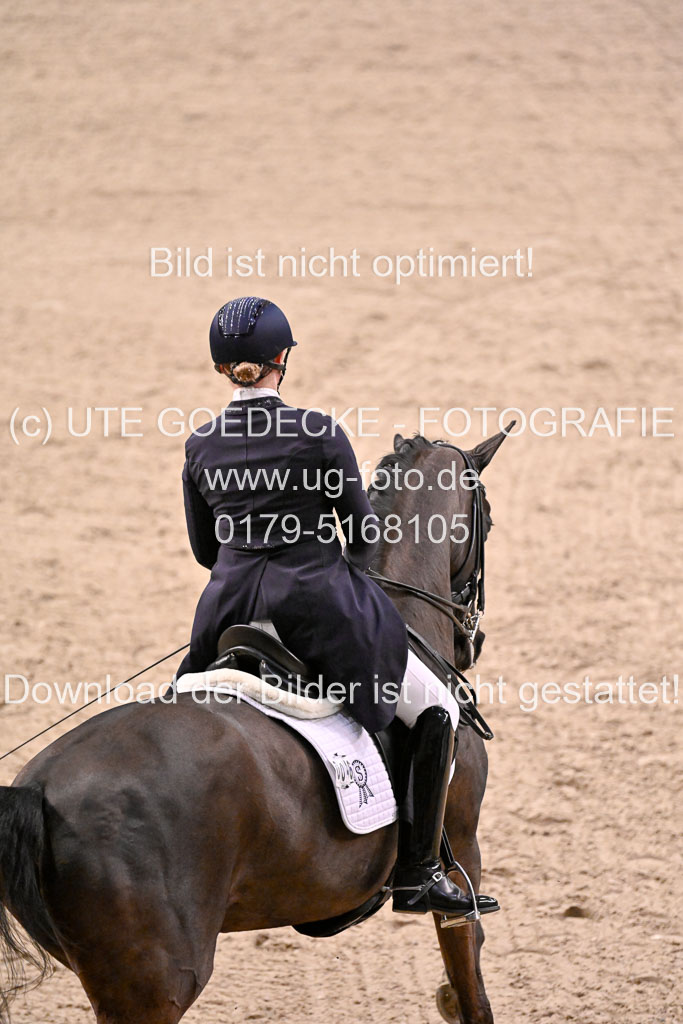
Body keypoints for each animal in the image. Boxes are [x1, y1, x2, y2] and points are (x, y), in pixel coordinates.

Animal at [0, 426, 511, 1024]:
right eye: (489, 520)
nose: (473, 641)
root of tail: (38, 790)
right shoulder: (462, 844)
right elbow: (471, 978)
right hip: (155, 983)